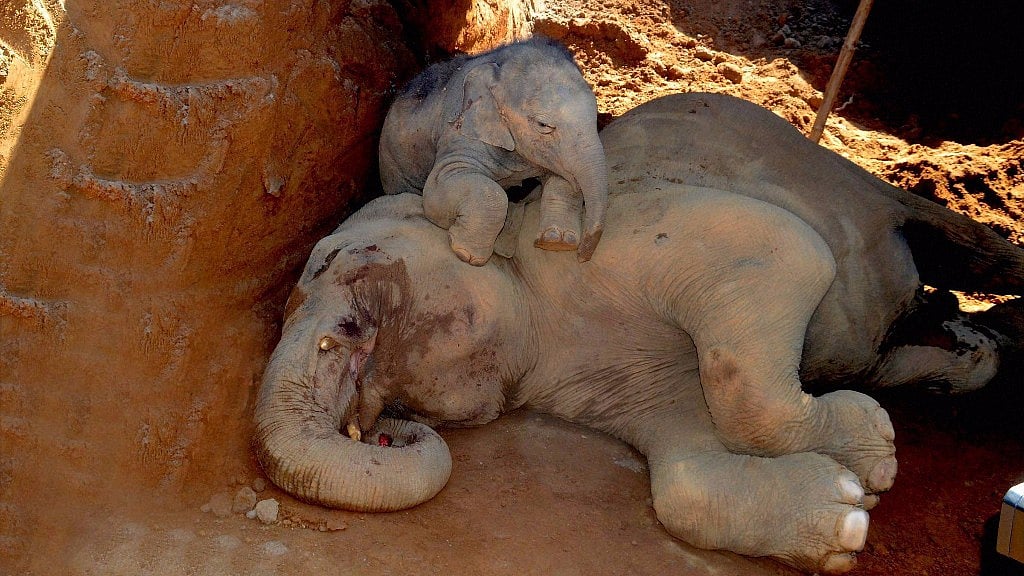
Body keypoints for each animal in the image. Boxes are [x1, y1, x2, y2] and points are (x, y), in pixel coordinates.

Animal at [255, 93, 1024, 573]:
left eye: (329, 261)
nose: (387, 432)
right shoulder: (595, 380)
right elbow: (683, 467)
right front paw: (846, 517)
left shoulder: (605, 238)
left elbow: (787, 253)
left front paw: (877, 458)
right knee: (892, 343)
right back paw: (970, 356)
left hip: (850, 181)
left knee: (943, 234)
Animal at [378, 36, 607, 265]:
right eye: (543, 125)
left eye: (596, 117)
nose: (582, 257)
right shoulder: (459, 133)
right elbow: (440, 189)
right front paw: (467, 255)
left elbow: (562, 179)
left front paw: (556, 242)